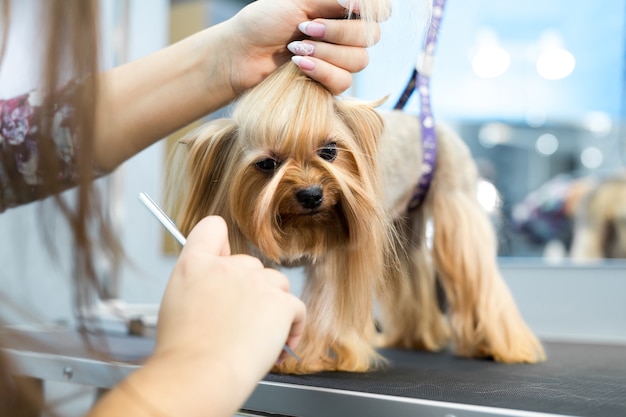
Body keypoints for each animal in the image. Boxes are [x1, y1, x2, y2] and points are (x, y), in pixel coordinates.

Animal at [165, 62, 540, 374]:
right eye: (267, 164)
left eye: (329, 150)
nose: (311, 195)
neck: (300, 224)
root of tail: (432, 126)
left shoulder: (332, 256)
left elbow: (323, 303)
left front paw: (305, 357)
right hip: (404, 227)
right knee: (413, 269)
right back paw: (417, 337)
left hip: (456, 203)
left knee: (475, 275)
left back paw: (501, 347)